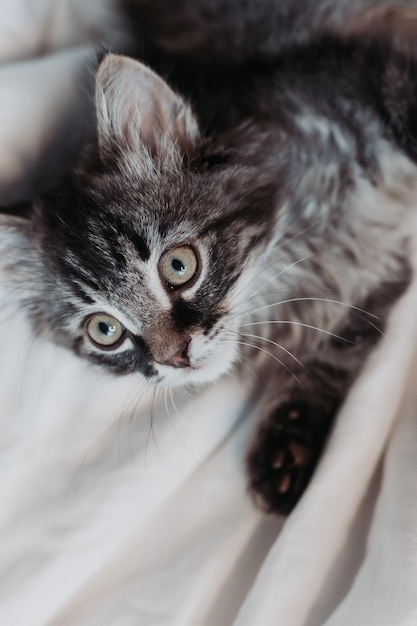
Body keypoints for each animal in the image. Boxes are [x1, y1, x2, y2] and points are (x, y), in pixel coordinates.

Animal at [0, 4, 416, 512]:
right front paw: (287, 445)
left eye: (179, 266)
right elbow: (339, 348)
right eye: (104, 331)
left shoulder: (371, 72)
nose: (176, 359)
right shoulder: (378, 273)